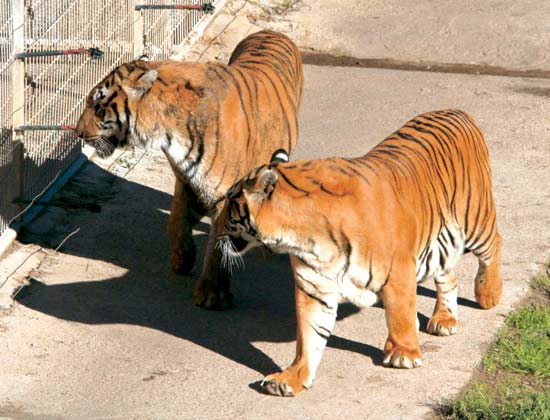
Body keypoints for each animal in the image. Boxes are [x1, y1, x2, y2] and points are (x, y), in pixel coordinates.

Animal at [75, 29, 304, 308]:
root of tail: (271, 31)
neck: (166, 132)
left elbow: (218, 244)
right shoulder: (186, 179)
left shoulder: (224, 195)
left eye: (98, 106)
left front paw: (212, 293)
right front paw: (182, 259)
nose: (78, 133)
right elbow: (175, 220)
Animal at [219, 109, 504, 398]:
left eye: (230, 203)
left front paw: (403, 354)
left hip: (476, 219)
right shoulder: (314, 288)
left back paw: (488, 293)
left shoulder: (398, 270)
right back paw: (444, 319)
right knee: (449, 275)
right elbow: (309, 336)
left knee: (493, 245)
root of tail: (457, 112)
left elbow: (400, 314)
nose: (216, 229)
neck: (303, 239)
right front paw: (292, 376)